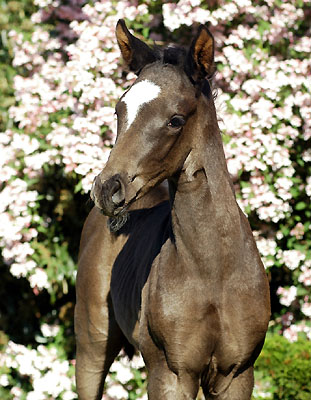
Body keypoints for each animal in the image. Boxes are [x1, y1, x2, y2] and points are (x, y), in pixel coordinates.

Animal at [75, 20, 270, 398]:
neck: (213, 270)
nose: (107, 189)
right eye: (119, 111)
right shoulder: (171, 373)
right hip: (92, 343)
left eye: (176, 120)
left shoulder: (237, 374)